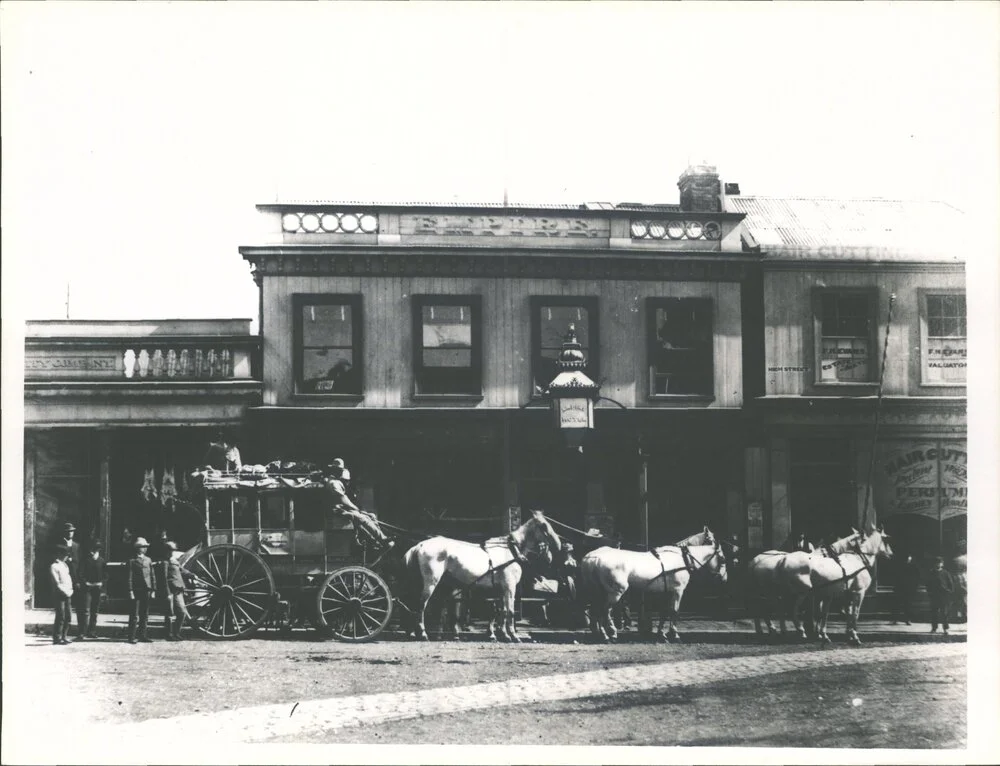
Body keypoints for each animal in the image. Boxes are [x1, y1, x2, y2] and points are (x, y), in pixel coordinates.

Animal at [404, 512, 564, 644]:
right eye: (544, 526)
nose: (558, 545)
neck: (511, 551)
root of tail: (420, 545)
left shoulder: (500, 590)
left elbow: (501, 611)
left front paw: (502, 634)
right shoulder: (509, 588)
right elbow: (510, 611)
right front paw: (513, 636)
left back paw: (415, 632)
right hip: (431, 583)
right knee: (421, 605)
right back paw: (423, 633)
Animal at [580, 528, 728, 640]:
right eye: (722, 559)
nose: (724, 578)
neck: (682, 558)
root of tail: (593, 557)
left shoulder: (666, 592)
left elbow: (664, 612)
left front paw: (661, 633)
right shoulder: (678, 590)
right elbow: (674, 611)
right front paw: (674, 634)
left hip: (598, 591)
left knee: (595, 610)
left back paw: (600, 632)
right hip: (616, 591)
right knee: (604, 610)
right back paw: (610, 633)